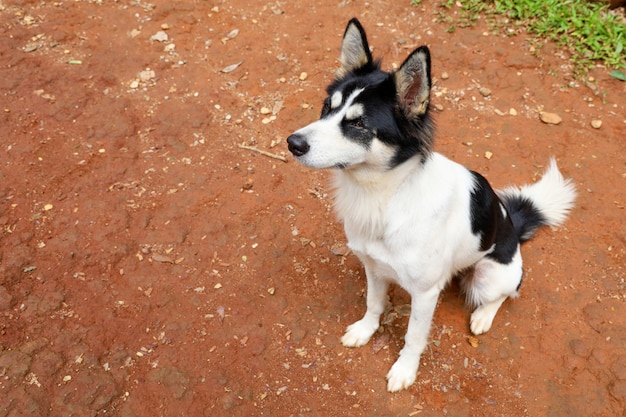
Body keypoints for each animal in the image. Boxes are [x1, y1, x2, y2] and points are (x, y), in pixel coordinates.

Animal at [286, 18, 572, 390]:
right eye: (326, 108)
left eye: (358, 124)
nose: (292, 143)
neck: (385, 194)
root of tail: (514, 226)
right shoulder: (373, 267)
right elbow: (373, 303)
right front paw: (365, 330)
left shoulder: (424, 294)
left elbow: (413, 337)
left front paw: (404, 370)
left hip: (490, 276)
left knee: (506, 293)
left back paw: (483, 315)